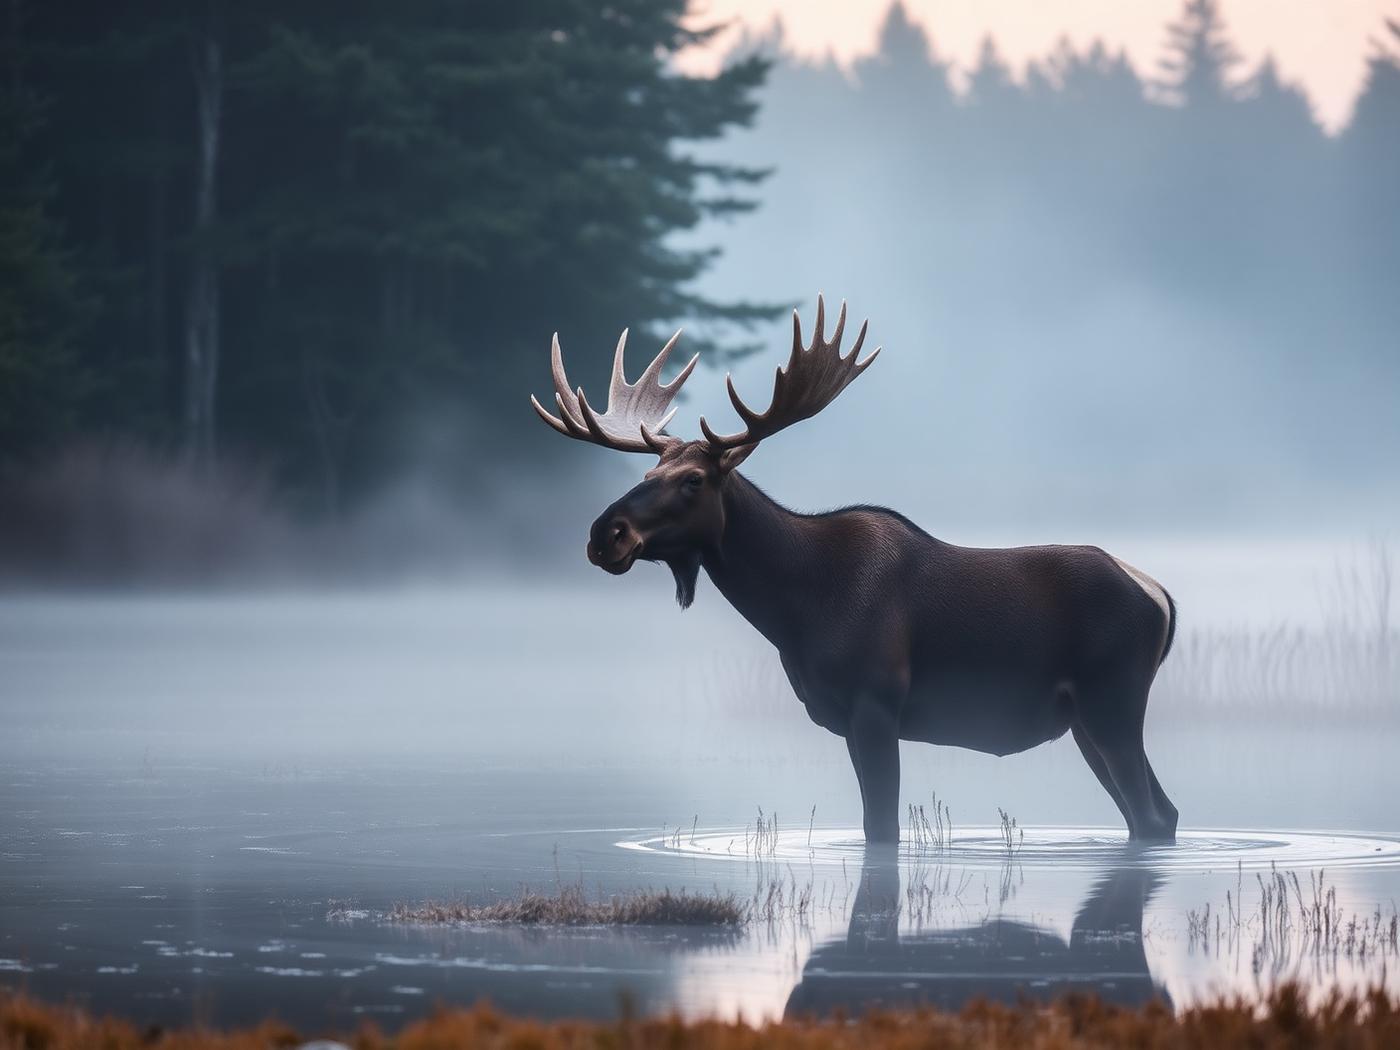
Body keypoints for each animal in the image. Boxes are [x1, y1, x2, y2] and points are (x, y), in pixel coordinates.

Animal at [531, 297, 1179, 843]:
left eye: (693, 480)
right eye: (646, 476)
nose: (604, 535)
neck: (797, 610)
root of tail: (1162, 598)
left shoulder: (876, 701)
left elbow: (882, 828)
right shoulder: (844, 717)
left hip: (1113, 699)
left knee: (1150, 813)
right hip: (1088, 718)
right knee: (1160, 814)